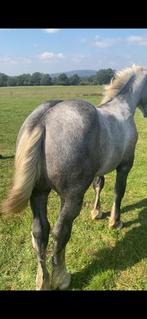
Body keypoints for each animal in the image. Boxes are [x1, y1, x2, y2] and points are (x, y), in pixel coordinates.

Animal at [1, 64, 147, 290]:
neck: (122, 107)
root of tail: (44, 119)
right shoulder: (125, 166)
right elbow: (118, 192)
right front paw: (115, 221)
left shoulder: (99, 170)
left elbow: (99, 185)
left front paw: (97, 212)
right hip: (71, 197)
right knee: (60, 231)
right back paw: (61, 278)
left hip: (39, 192)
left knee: (40, 230)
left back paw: (42, 279)